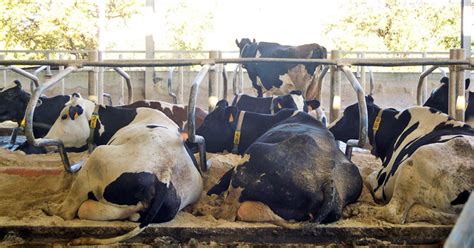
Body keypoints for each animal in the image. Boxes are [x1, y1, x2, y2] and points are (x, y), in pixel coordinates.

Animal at [43, 95, 202, 244]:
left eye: (64, 116)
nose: (46, 139)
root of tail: (165, 171)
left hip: (98, 157)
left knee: (68, 210)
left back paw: (51, 208)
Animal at [330, 96, 474, 224]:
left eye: (346, 114)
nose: (329, 127)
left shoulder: (380, 182)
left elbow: (365, 171)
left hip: (416, 160)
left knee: (392, 212)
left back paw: (355, 209)